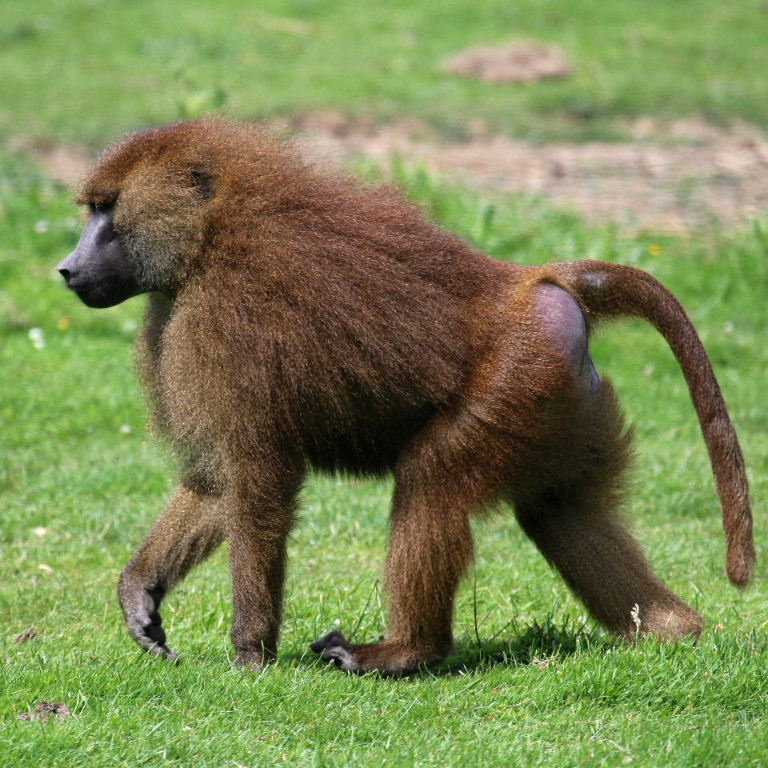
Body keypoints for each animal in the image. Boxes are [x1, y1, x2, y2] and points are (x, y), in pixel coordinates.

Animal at [57, 118, 754, 675]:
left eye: (107, 212)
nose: (66, 269)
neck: (209, 235)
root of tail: (536, 283)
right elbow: (214, 479)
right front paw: (141, 595)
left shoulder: (222, 321)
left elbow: (256, 480)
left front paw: (251, 652)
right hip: (559, 397)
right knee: (560, 510)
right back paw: (672, 634)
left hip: (514, 378)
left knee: (434, 477)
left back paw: (405, 652)